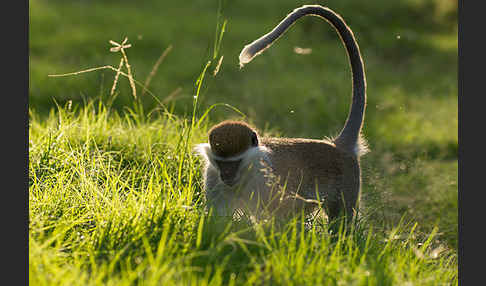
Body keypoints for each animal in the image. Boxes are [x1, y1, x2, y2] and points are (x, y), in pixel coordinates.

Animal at [194, 5, 368, 222]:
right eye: (221, 163)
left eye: (235, 163)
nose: (226, 176)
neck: (246, 175)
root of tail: (339, 146)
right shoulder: (212, 176)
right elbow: (216, 221)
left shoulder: (266, 178)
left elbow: (292, 209)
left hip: (348, 182)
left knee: (341, 220)